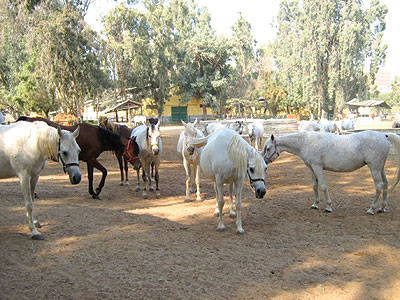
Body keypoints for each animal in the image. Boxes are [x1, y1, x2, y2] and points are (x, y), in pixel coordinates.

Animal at [260, 131, 400, 213]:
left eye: (268, 148)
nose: (264, 162)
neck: (306, 141)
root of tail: (384, 135)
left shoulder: (317, 167)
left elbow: (323, 186)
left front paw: (328, 206)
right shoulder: (312, 168)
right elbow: (314, 186)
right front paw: (315, 204)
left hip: (374, 168)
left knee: (379, 186)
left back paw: (372, 208)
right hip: (381, 168)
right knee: (386, 184)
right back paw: (383, 207)